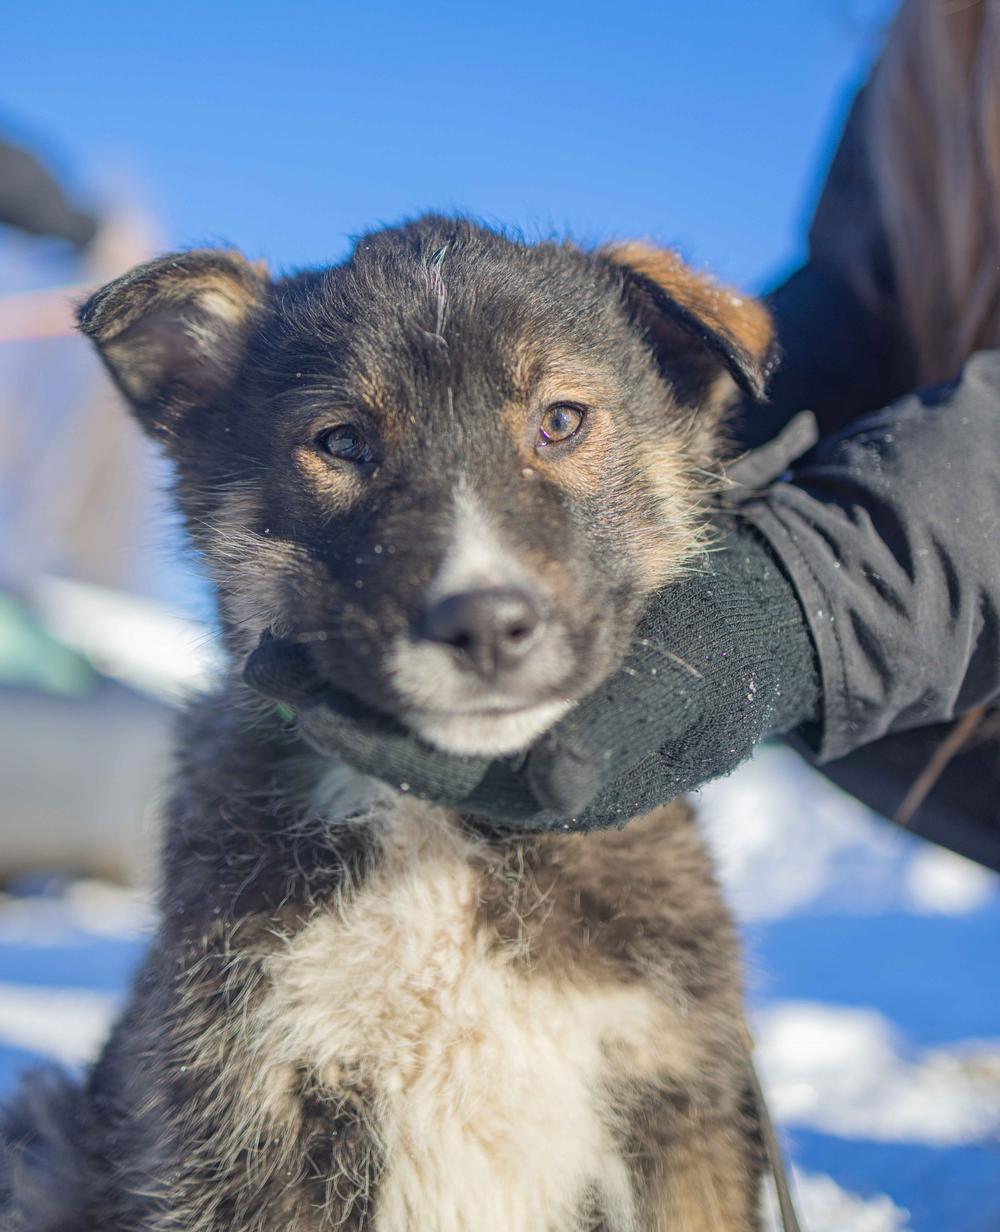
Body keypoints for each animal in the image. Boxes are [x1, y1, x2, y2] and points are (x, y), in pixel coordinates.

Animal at [1, 216, 773, 1227]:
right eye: (342, 442)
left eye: (561, 420)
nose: (485, 623)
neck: (445, 836)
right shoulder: (245, 1111)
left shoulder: (676, 1098)